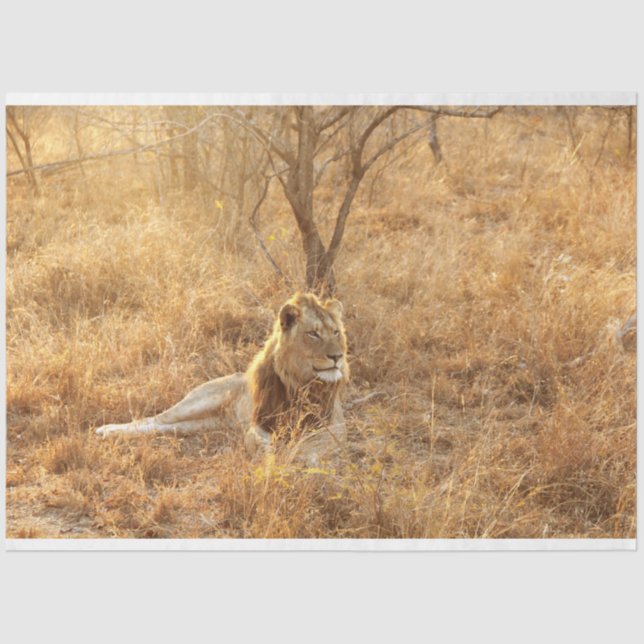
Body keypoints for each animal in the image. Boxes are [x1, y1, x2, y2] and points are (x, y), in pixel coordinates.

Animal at [95, 292, 349, 464]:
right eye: (313, 334)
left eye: (336, 332)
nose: (337, 356)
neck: (302, 383)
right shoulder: (259, 423)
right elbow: (257, 442)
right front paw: (271, 457)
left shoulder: (334, 427)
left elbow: (313, 445)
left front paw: (302, 458)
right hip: (197, 403)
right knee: (154, 419)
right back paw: (107, 430)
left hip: (202, 424)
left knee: (164, 427)